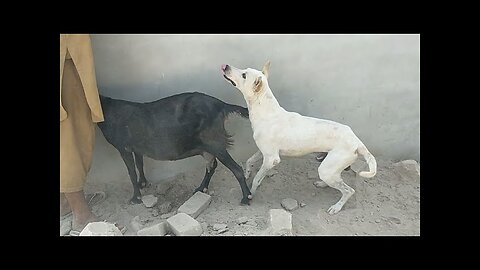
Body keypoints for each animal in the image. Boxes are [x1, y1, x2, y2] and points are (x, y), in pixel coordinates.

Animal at [95, 93, 249, 205]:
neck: (107, 109)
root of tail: (221, 105)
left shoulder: (123, 147)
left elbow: (131, 172)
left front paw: (136, 198)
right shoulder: (137, 147)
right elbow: (140, 164)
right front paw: (142, 183)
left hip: (214, 142)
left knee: (236, 169)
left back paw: (246, 197)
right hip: (208, 146)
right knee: (212, 165)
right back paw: (201, 188)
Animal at [223, 60, 376, 213]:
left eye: (244, 75)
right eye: (244, 70)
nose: (225, 66)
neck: (266, 112)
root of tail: (357, 142)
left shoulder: (272, 159)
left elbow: (257, 179)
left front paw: (250, 194)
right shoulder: (263, 152)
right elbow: (250, 161)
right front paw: (247, 173)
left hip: (327, 169)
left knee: (348, 190)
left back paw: (336, 207)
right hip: (330, 168)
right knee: (338, 180)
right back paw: (322, 184)